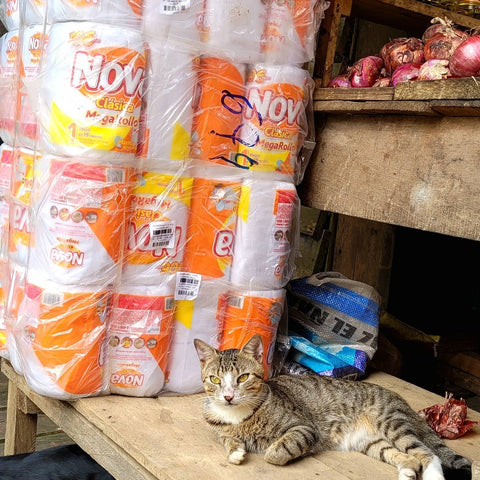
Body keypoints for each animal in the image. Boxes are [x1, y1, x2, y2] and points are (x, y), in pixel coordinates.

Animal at [194, 334, 472, 480]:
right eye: (215, 380)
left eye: (243, 378)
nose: (228, 396)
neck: (236, 415)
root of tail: (404, 403)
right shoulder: (223, 431)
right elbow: (228, 440)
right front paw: (236, 451)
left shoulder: (303, 428)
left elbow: (278, 451)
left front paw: (272, 451)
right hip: (372, 442)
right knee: (407, 456)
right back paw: (407, 472)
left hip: (392, 424)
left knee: (428, 453)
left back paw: (432, 474)